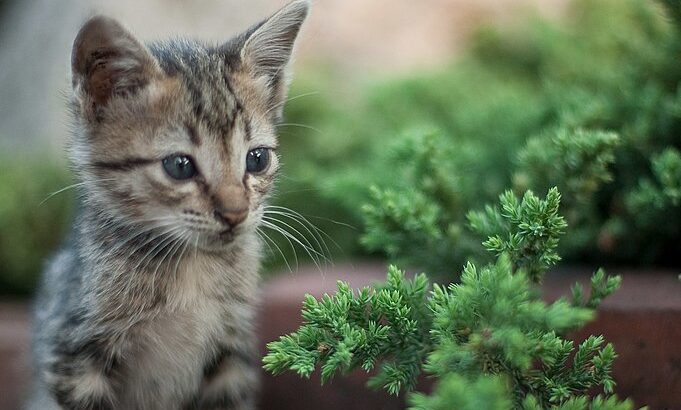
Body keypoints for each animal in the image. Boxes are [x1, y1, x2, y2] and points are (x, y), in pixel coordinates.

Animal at [29, 1, 310, 408]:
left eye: (256, 159)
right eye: (179, 166)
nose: (236, 213)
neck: (191, 266)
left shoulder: (230, 356)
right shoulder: (73, 352)